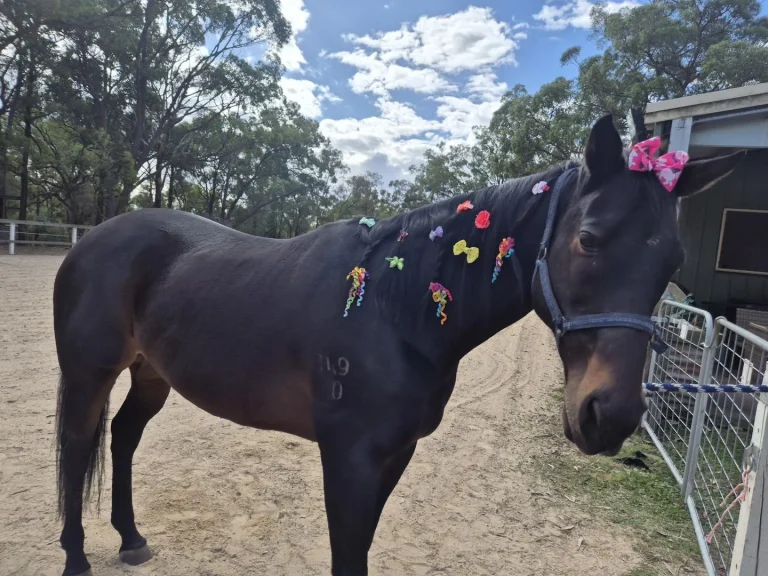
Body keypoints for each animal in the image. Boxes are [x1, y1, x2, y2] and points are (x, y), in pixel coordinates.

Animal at [52, 115, 742, 576]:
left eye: (672, 261)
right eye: (590, 239)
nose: (611, 416)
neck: (392, 308)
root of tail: (93, 240)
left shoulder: (395, 455)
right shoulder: (348, 460)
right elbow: (347, 556)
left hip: (150, 373)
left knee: (124, 437)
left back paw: (131, 540)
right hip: (90, 372)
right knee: (79, 446)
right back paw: (77, 557)